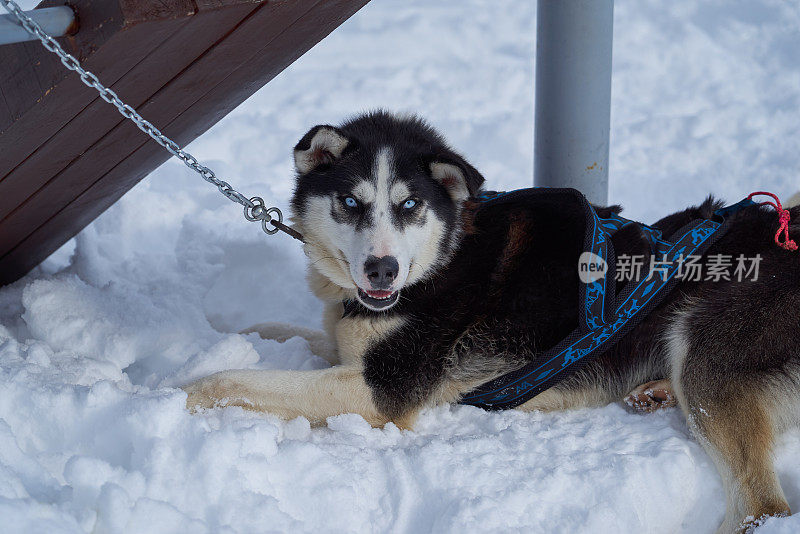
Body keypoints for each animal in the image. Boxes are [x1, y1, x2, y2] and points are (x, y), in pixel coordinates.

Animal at [186, 111, 800, 532]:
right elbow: (286, 333)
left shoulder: (381, 388)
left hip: (707, 356)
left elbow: (226, 381)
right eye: (351, 202)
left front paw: (175, 392)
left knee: (763, 506)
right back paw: (652, 391)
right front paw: (231, 332)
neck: (443, 255)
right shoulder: (346, 346)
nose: (382, 268)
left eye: (410, 205)